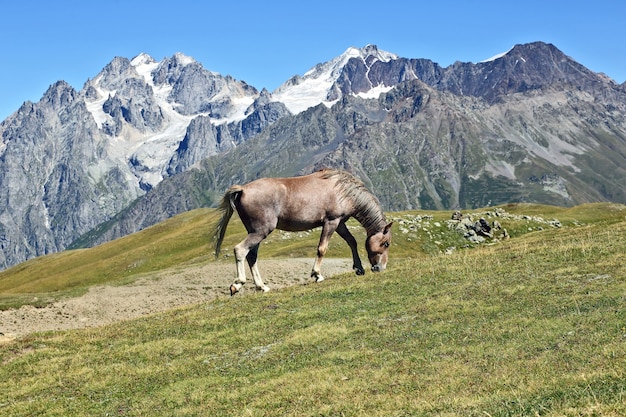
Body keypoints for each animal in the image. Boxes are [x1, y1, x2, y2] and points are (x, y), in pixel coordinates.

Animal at [212, 167, 392, 294]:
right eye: (386, 244)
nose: (380, 268)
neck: (343, 191)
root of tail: (243, 189)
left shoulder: (340, 223)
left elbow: (352, 242)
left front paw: (359, 268)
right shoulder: (331, 222)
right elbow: (322, 248)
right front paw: (317, 274)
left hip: (256, 232)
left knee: (251, 256)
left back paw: (262, 286)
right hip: (260, 231)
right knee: (240, 250)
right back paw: (238, 284)